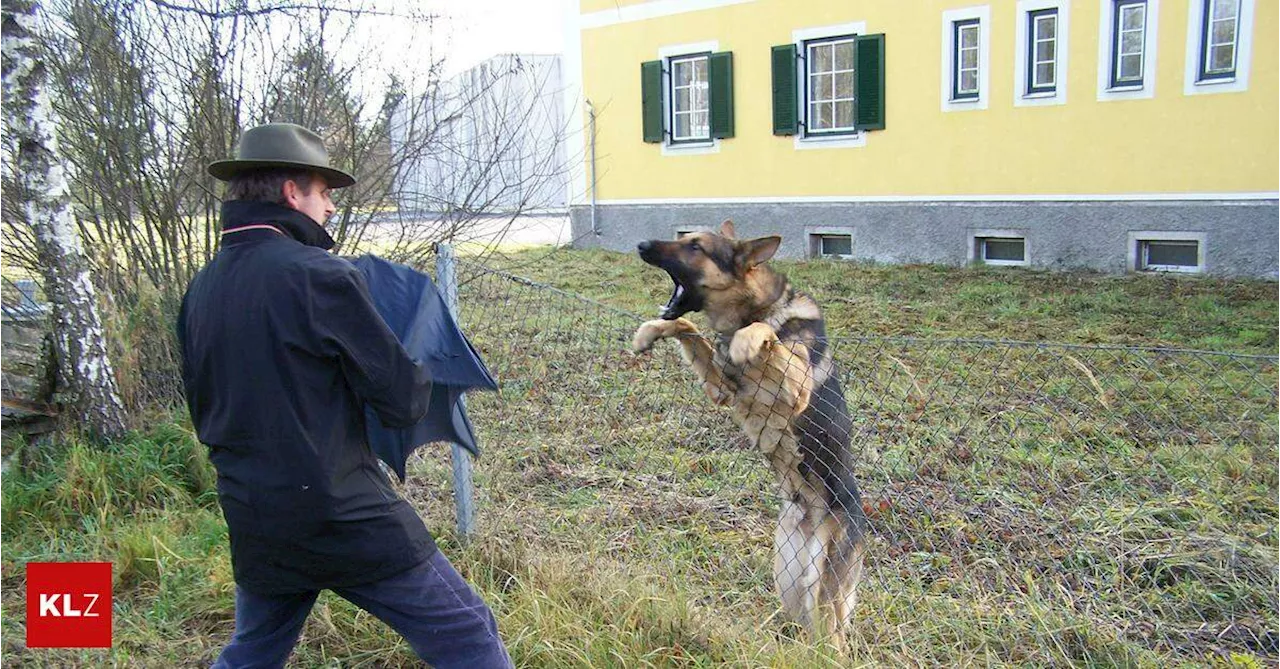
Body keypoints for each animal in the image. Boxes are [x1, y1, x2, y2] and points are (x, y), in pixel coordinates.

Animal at [632, 222, 870, 652]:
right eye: (684, 237)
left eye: (696, 246)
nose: (641, 244)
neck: (752, 308)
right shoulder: (722, 389)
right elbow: (688, 326)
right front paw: (649, 332)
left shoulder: (795, 388)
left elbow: (763, 335)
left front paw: (749, 339)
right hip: (790, 580)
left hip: (822, 585)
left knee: (833, 642)